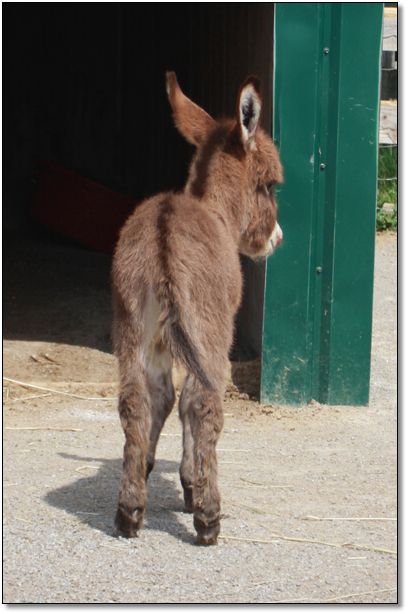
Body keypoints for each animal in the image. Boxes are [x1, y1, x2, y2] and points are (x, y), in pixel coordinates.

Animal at [111, 72, 283, 545]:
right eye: (270, 185)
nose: (276, 240)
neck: (213, 210)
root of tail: (164, 231)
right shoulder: (209, 335)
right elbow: (189, 402)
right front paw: (192, 489)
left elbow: (163, 400)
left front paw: (151, 471)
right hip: (208, 333)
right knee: (203, 401)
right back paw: (208, 519)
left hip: (131, 326)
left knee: (136, 399)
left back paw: (128, 513)